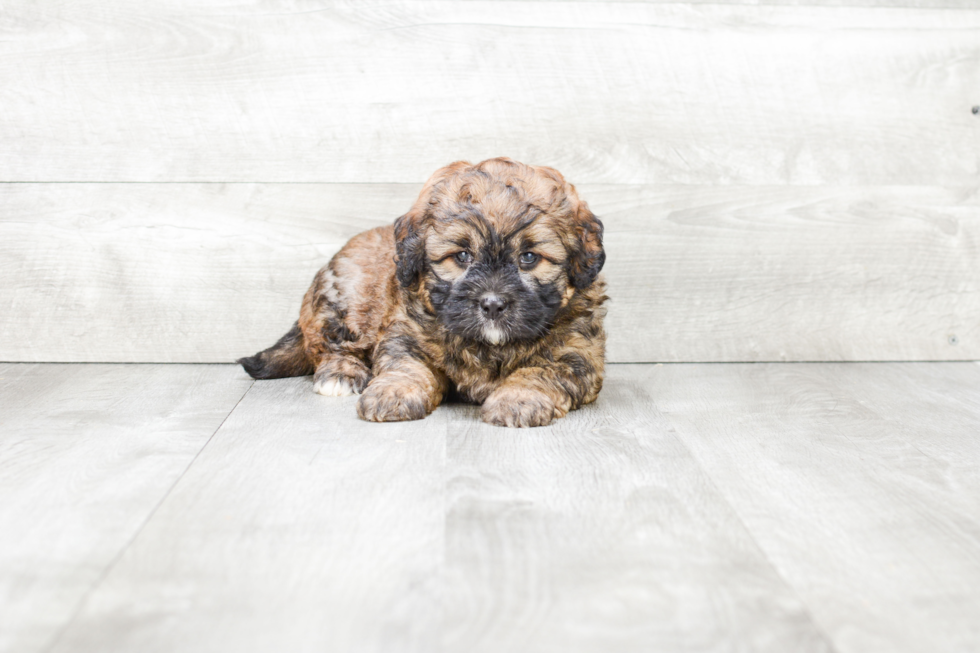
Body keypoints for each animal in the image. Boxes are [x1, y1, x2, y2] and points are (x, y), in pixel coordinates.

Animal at [237, 155, 604, 426]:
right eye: (462, 256)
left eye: (529, 257)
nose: (492, 304)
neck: (488, 346)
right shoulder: (405, 335)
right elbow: (405, 365)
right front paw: (393, 393)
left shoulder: (577, 353)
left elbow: (541, 370)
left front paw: (518, 398)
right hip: (342, 302)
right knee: (330, 348)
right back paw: (341, 373)